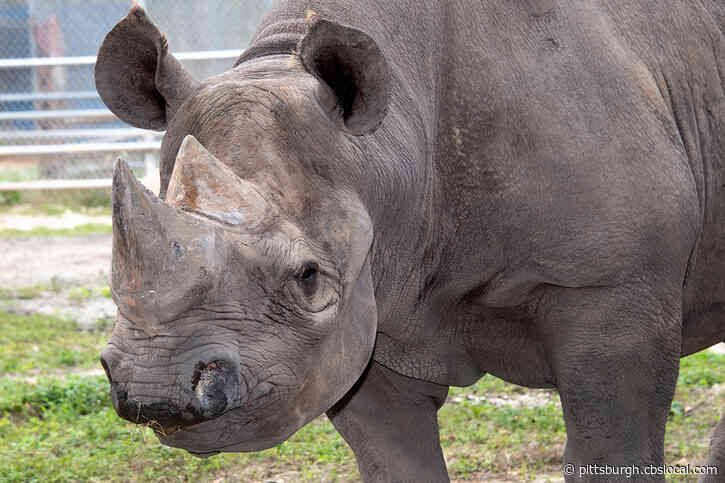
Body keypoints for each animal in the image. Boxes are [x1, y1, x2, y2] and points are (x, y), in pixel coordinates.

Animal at [95, 1, 725, 481]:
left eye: (309, 278)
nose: (155, 391)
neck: (386, 146)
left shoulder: (612, 287)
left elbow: (611, 451)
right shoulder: (366, 326)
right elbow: (397, 461)